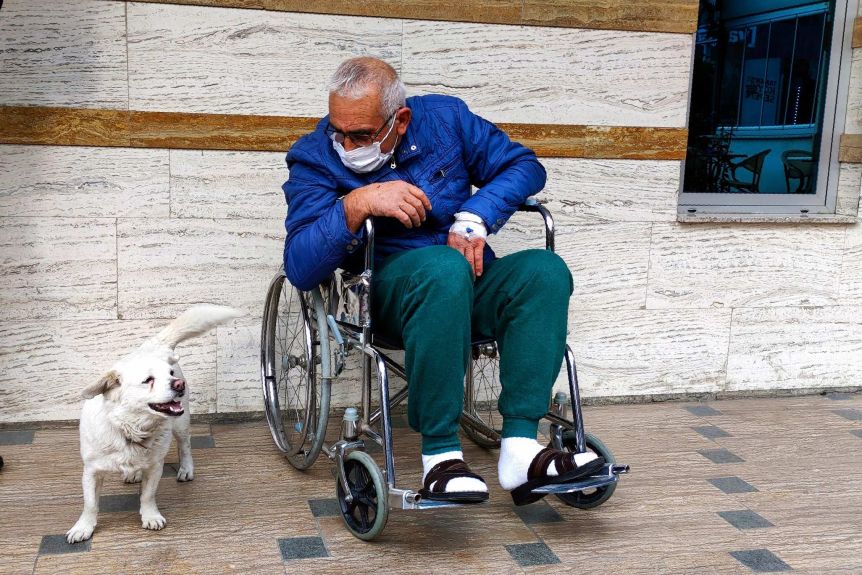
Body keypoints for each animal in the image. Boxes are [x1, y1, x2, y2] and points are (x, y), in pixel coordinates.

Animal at [65, 306, 241, 544]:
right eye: (148, 380)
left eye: (170, 374)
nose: (179, 384)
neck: (130, 429)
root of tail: (152, 345)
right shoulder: (91, 471)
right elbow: (90, 504)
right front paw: (84, 527)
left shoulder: (155, 466)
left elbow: (148, 495)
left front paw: (150, 516)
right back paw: (133, 474)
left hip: (181, 424)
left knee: (185, 446)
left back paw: (186, 469)